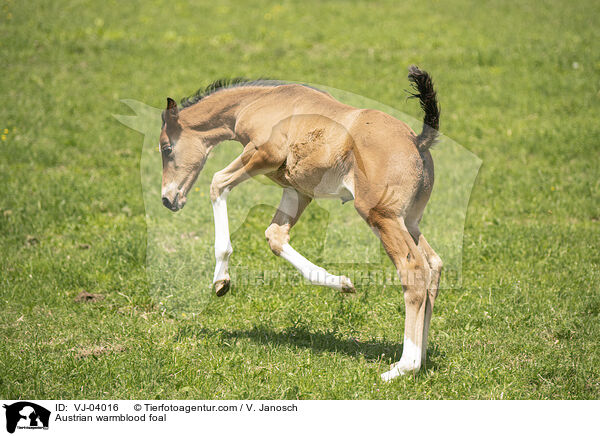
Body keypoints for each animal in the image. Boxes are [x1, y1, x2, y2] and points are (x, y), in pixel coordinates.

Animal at [158, 65, 440, 382]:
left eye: (166, 148)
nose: (168, 199)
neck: (257, 102)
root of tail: (418, 140)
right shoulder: (297, 190)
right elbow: (275, 236)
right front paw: (342, 283)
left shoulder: (265, 154)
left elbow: (217, 183)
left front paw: (221, 280)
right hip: (410, 221)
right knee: (434, 265)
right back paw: (421, 358)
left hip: (381, 216)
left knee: (413, 269)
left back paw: (404, 366)